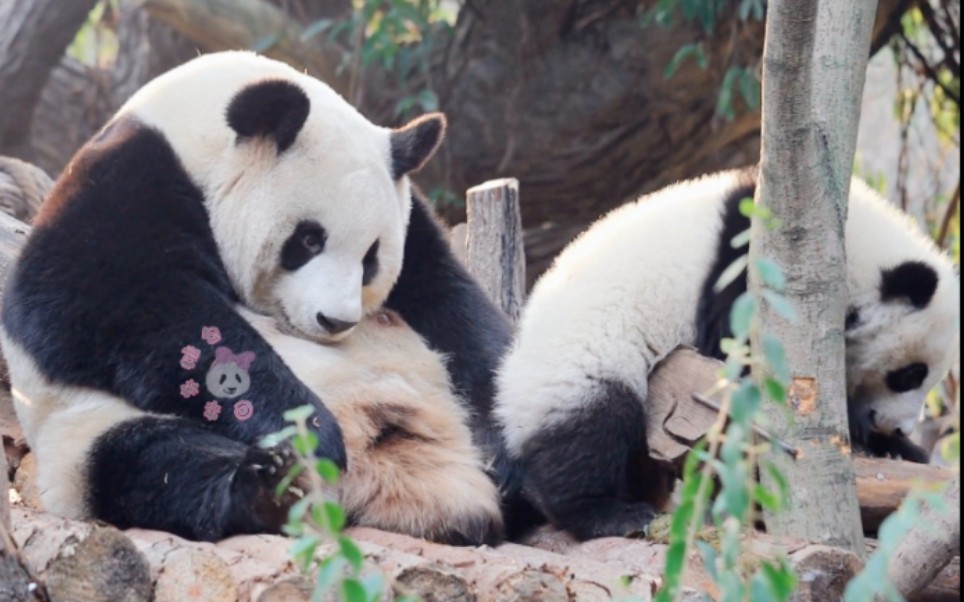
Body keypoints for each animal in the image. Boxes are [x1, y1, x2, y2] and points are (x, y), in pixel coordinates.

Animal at [0, 50, 520, 544]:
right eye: (308, 240)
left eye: (371, 256)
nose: (336, 321)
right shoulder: (123, 183)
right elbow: (104, 301)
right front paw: (312, 432)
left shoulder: (418, 236)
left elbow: (456, 308)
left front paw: (510, 447)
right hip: (86, 432)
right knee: (155, 463)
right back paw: (266, 488)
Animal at [494, 168, 960, 540]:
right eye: (910, 374)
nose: (899, 426)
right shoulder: (750, 265)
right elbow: (734, 351)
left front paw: (898, 449)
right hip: (581, 359)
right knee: (588, 427)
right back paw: (607, 513)